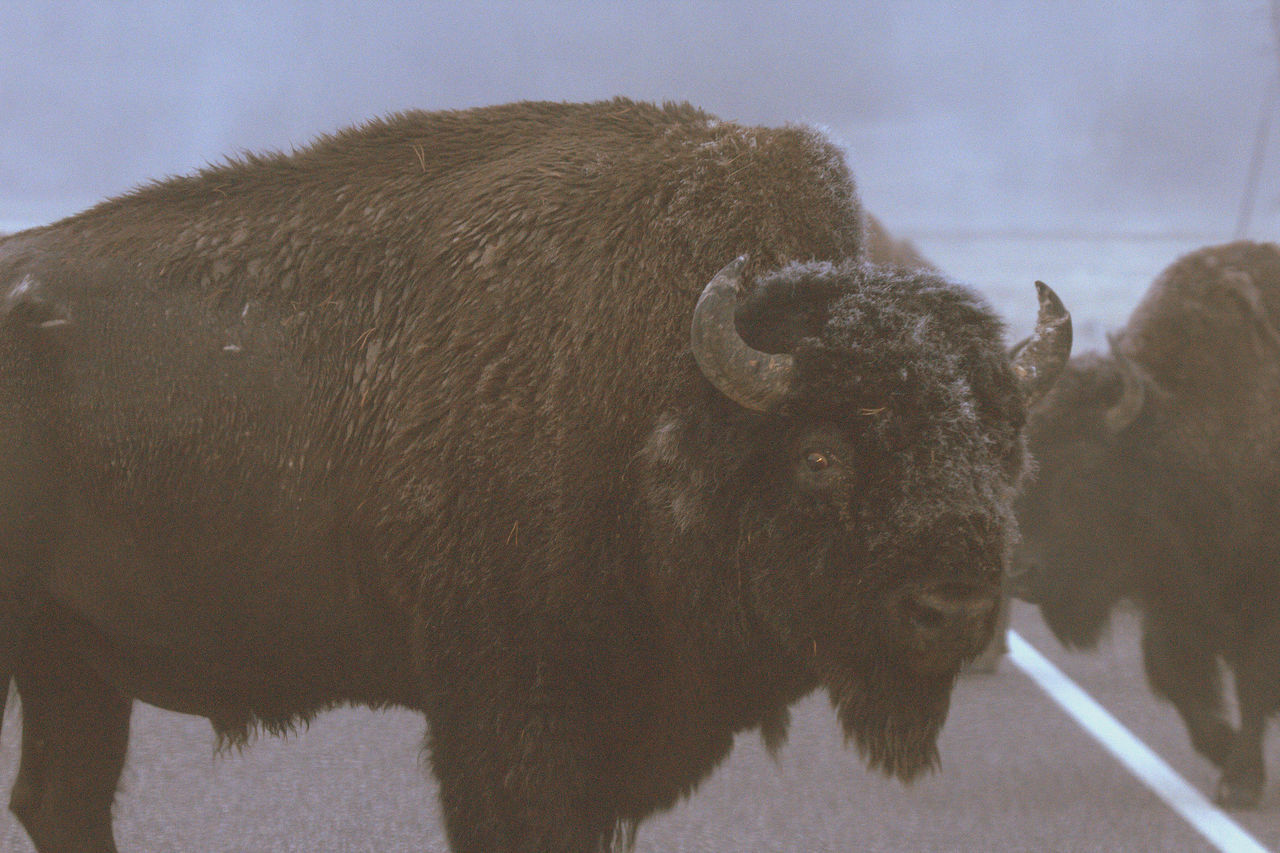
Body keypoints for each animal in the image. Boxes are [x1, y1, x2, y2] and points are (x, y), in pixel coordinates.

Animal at [0, 96, 1070, 845]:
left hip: (72, 660)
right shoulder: (509, 713)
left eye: (1001, 449)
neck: (676, 394)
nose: (953, 609)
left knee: (62, 800)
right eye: (821, 454)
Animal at [1008, 236, 1280, 804]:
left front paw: (1240, 781)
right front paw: (1221, 748)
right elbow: (1172, 673)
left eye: (1083, 473)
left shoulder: (1264, 604)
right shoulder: (1170, 600)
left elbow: (1255, 681)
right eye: (1024, 467)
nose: (1019, 573)